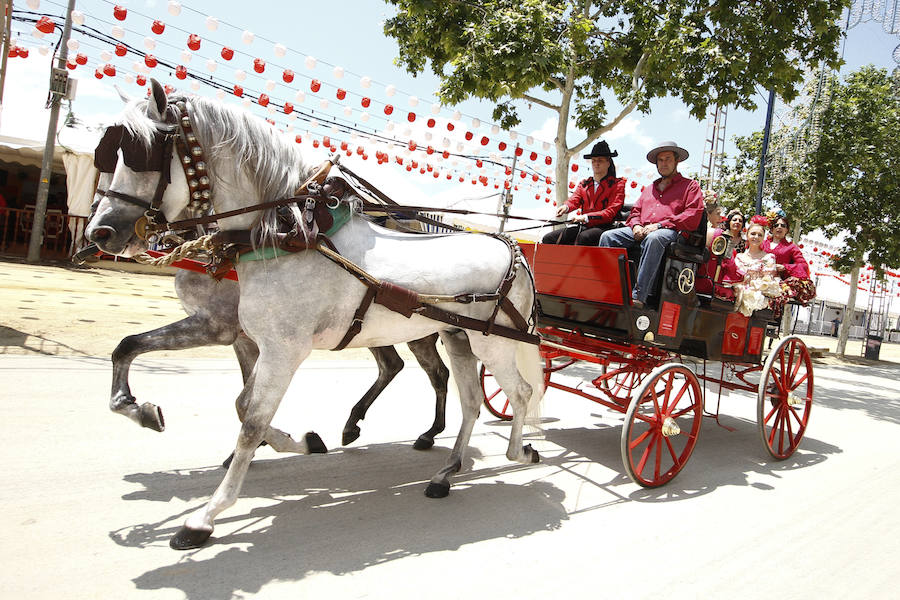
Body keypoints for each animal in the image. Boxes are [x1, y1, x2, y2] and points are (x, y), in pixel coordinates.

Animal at [86, 79, 540, 548]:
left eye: (142, 152)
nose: (100, 232)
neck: (287, 235)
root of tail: (512, 248)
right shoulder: (253, 339)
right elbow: (227, 396)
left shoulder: (278, 348)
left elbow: (251, 420)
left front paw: (207, 515)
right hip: (457, 337)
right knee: (470, 400)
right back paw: (445, 473)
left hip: (492, 342)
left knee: (519, 392)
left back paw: (518, 451)